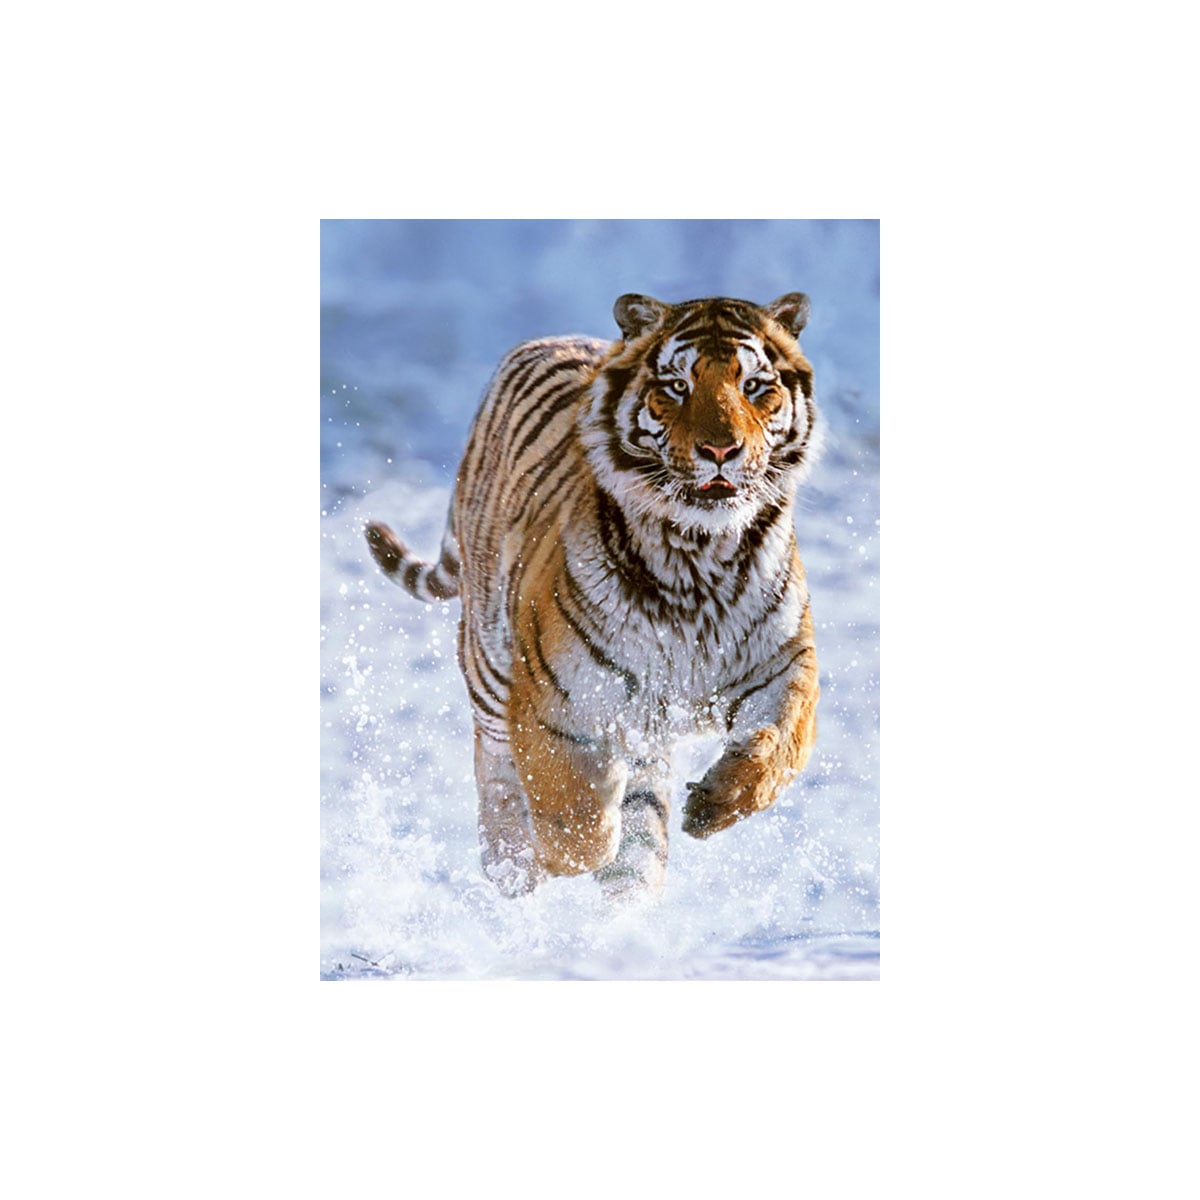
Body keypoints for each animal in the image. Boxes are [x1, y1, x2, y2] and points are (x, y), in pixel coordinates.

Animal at [365, 292, 822, 900]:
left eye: (753, 386)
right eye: (677, 386)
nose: (721, 449)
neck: (697, 557)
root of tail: (546, 339)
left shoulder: (784, 664)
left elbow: (781, 745)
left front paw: (713, 805)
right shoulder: (553, 700)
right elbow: (576, 825)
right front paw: (552, 852)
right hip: (489, 667)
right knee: (495, 772)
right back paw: (511, 867)